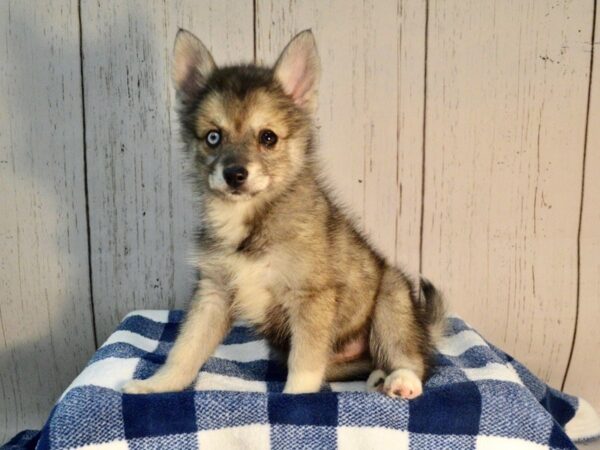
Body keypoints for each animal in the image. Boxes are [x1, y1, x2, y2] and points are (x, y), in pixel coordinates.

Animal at [124, 29, 446, 400]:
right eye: (213, 137)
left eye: (268, 138)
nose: (235, 174)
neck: (252, 218)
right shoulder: (213, 293)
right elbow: (185, 348)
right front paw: (157, 384)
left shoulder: (310, 297)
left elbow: (304, 364)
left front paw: (295, 399)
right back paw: (377, 377)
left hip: (391, 300)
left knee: (411, 356)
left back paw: (401, 380)